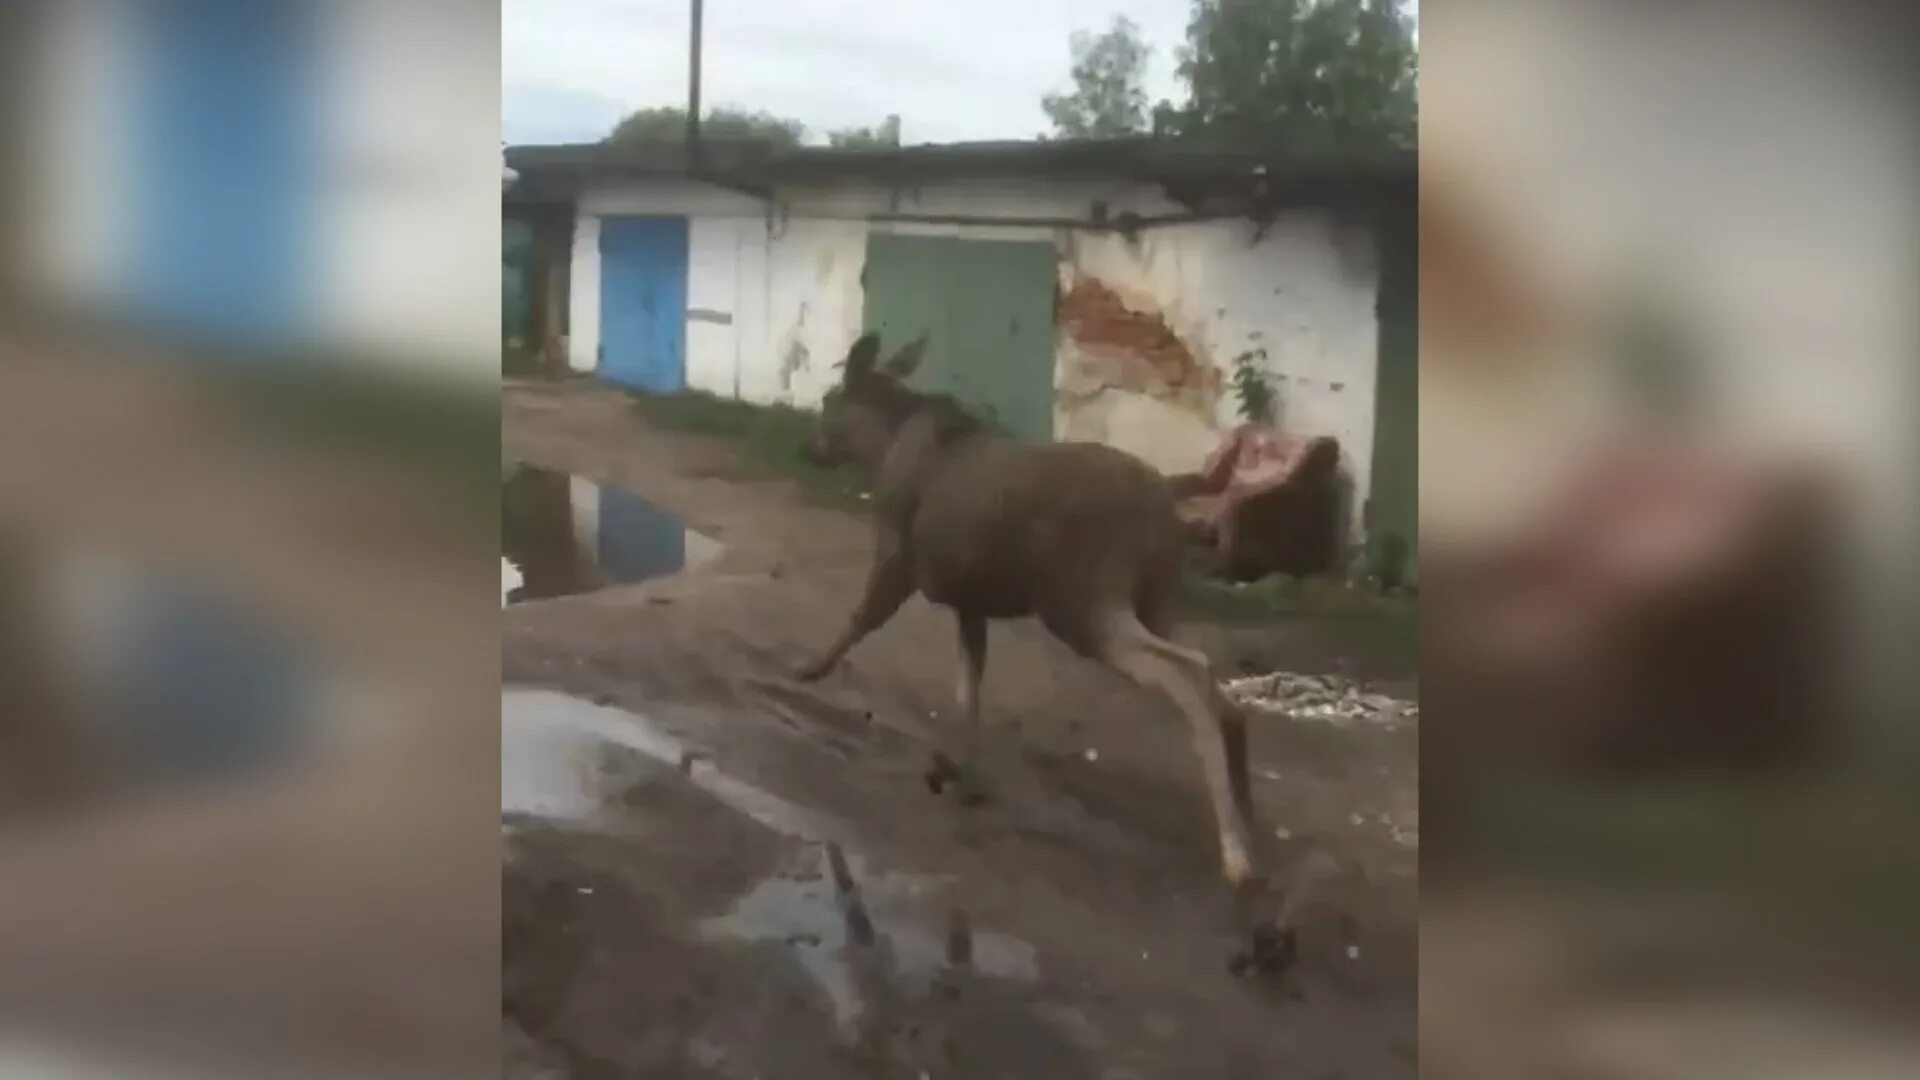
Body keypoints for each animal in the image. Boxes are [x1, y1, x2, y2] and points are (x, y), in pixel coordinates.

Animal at [794, 332, 1259, 887]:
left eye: (828, 400)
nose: (811, 448)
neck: (882, 443)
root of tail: (1166, 503)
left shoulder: (898, 560)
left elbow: (860, 620)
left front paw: (809, 669)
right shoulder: (971, 599)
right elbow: (968, 689)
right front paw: (962, 772)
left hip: (1080, 601)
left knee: (1191, 671)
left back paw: (1236, 852)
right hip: (1153, 598)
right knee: (1220, 689)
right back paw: (1249, 820)